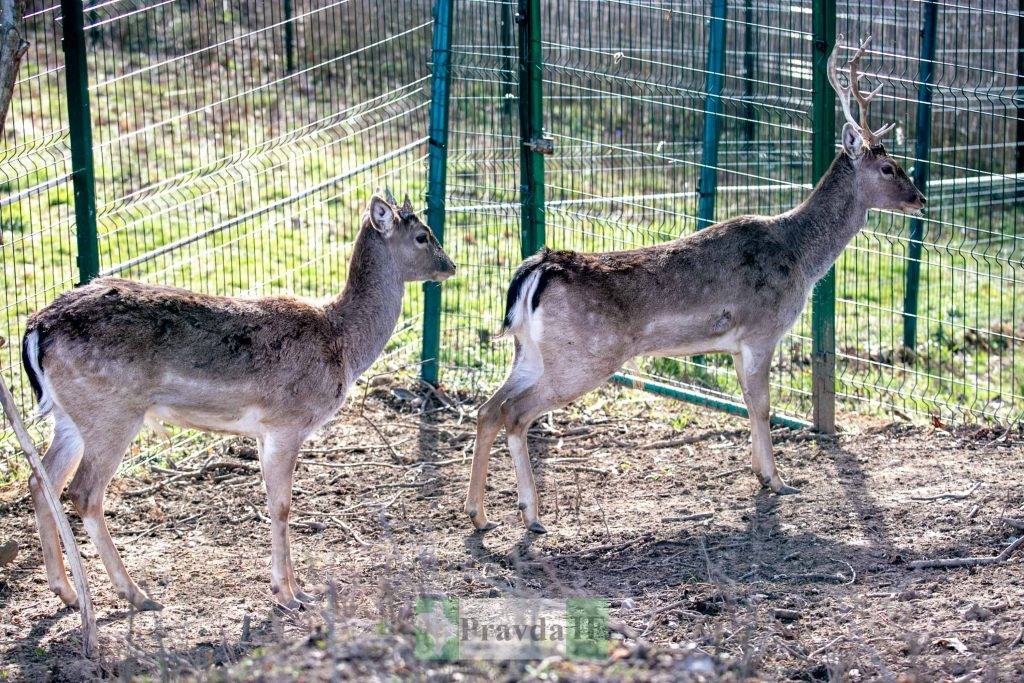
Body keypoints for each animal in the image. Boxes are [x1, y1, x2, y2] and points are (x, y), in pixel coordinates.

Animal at [468, 34, 925, 532]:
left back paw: (478, 514)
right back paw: (531, 515)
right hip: (582, 358)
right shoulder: (762, 331)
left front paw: (760, 474)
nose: (920, 198)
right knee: (514, 414)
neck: (801, 258)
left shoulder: (738, 344)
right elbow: (763, 406)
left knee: (487, 409)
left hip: (528, 351)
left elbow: (747, 403)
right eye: (889, 168)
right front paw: (778, 481)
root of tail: (537, 270)